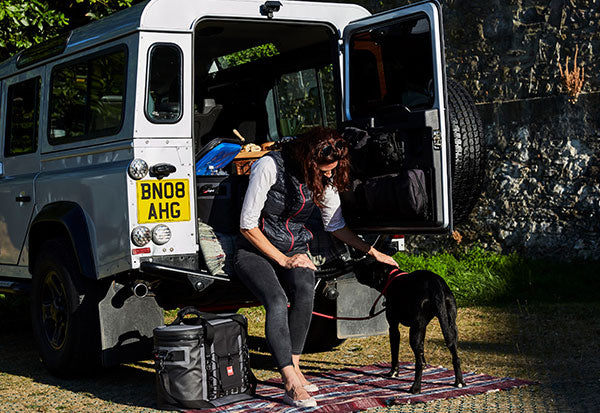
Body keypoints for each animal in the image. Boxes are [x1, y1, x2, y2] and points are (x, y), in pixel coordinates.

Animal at [354, 260, 466, 392]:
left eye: (367, 265)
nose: (354, 267)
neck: (390, 277)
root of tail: (434, 282)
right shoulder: (422, 327)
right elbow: (422, 351)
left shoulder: (394, 328)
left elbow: (395, 353)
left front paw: (393, 372)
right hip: (451, 327)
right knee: (456, 357)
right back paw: (459, 382)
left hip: (414, 333)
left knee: (418, 363)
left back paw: (415, 387)